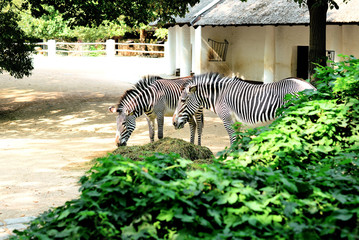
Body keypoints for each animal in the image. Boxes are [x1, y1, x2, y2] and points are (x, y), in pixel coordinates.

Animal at [173, 72, 316, 144]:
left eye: (183, 100)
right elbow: (238, 142)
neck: (219, 96)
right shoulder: (237, 122)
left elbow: (233, 141)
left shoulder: (227, 120)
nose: (173, 122)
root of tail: (311, 87)